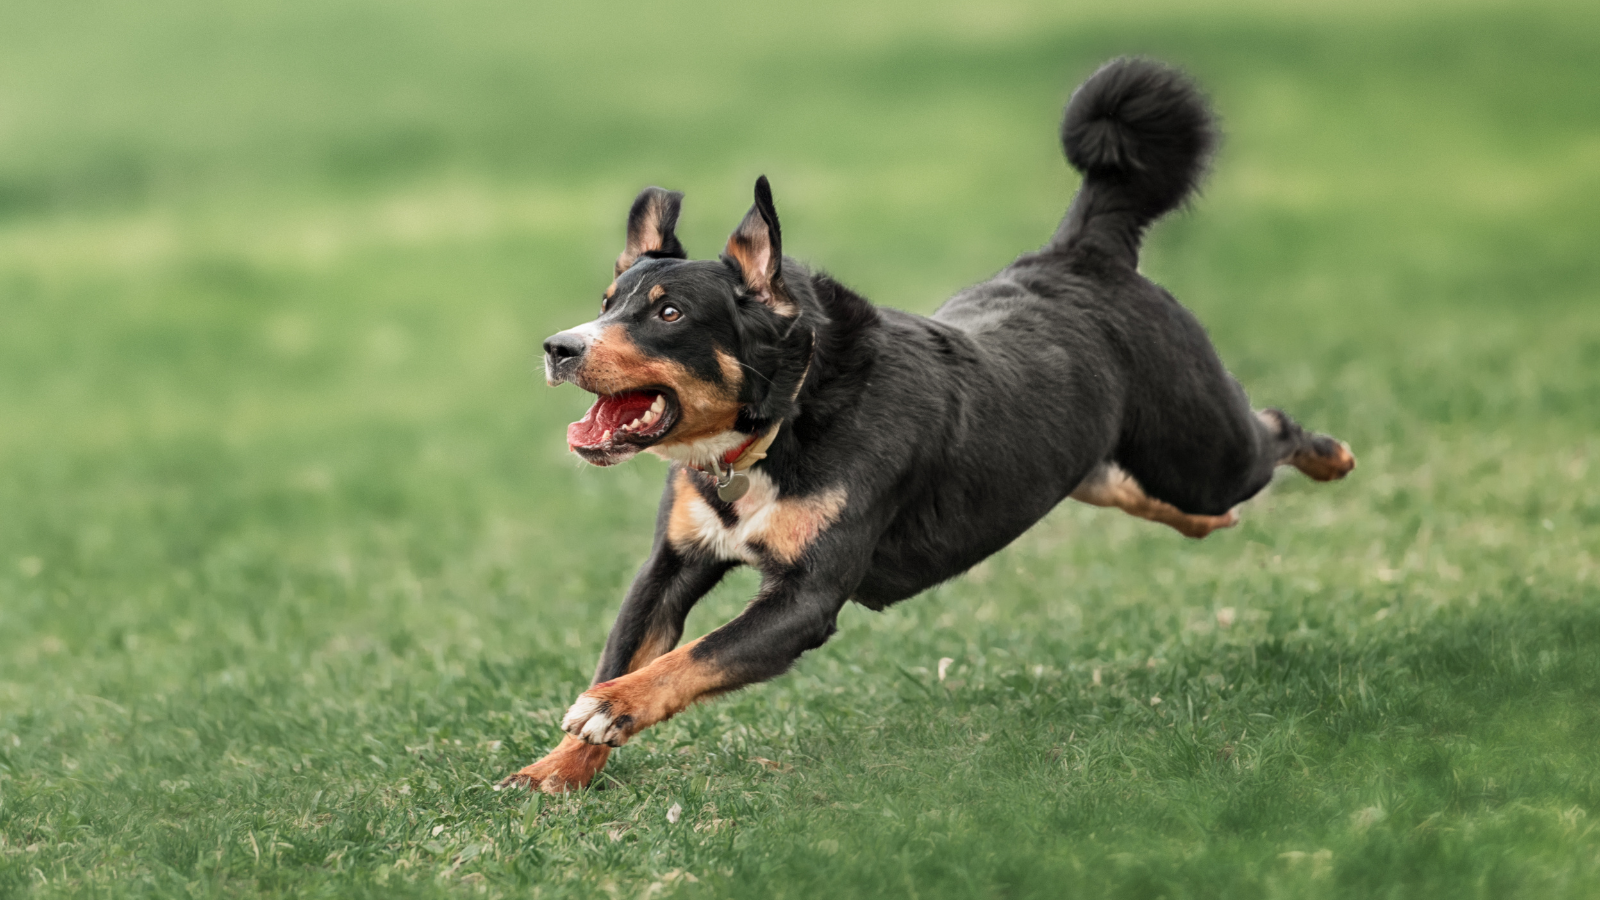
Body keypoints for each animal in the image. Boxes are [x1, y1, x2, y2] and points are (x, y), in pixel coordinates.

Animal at [499, 56, 1350, 787]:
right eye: (607, 303)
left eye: (668, 313)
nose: (559, 347)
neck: (781, 427)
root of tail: (1083, 253)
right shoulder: (671, 566)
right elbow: (627, 652)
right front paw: (554, 771)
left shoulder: (804, 597)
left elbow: (688, 659)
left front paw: (609, 712)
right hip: (1107, 466)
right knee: (1131, 485)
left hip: (1204, 451)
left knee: (1270, 430)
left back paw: (1332, 456)